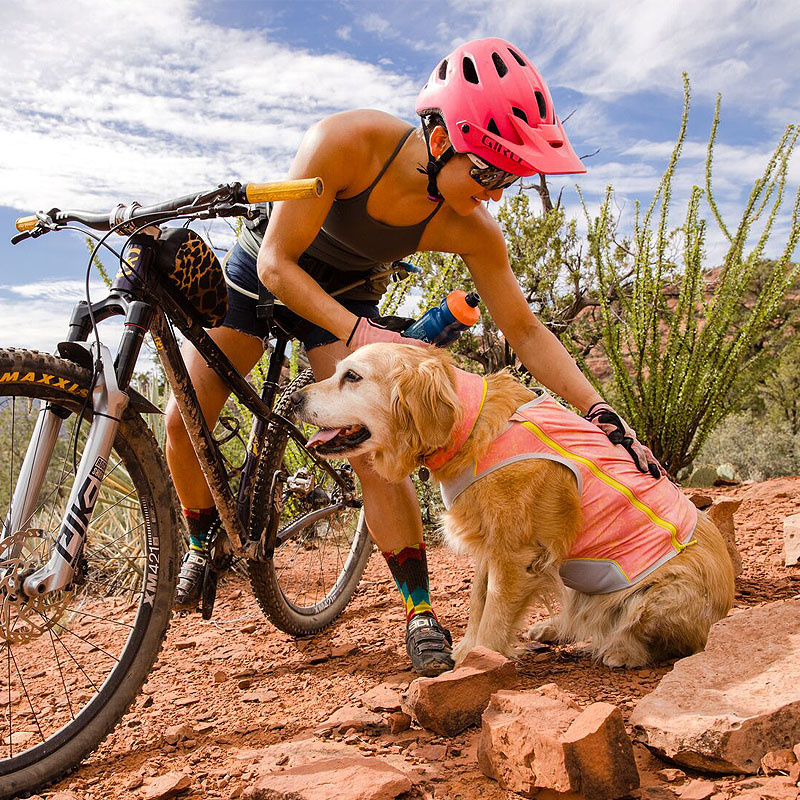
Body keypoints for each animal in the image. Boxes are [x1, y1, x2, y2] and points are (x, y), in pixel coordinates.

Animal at [296, 344, 736, 668]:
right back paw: (553, 628)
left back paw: (622, 651)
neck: (468, 424)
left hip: (662, 594)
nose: (294, 397)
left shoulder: (516, 552)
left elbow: (494, 617)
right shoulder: (490, 547)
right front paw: (467, 650)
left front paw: (479, 660)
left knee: (662, 639)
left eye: (352, 377)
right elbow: (479, 604)